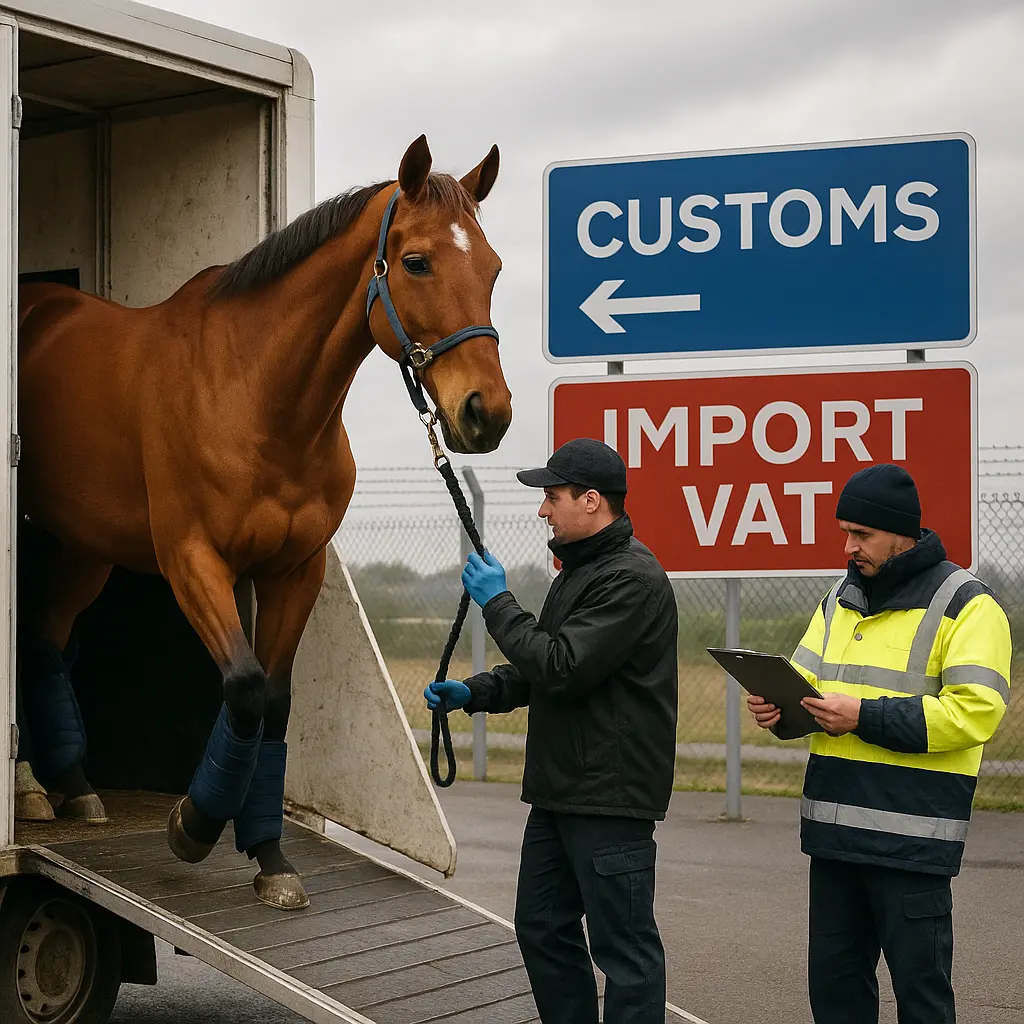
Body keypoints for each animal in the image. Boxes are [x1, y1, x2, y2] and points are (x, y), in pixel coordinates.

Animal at [15, 135, 512, 909]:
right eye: (416, 261)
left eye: (491, 267)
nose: (486, 413)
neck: (254, 393)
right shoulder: (193, 561)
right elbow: (244, 688)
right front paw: (193, 824)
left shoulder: (293, 570)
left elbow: (274, 703)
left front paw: (271, 857)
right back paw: (32, 787)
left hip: (84, 545)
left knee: (43, 636)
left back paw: (70, 787)